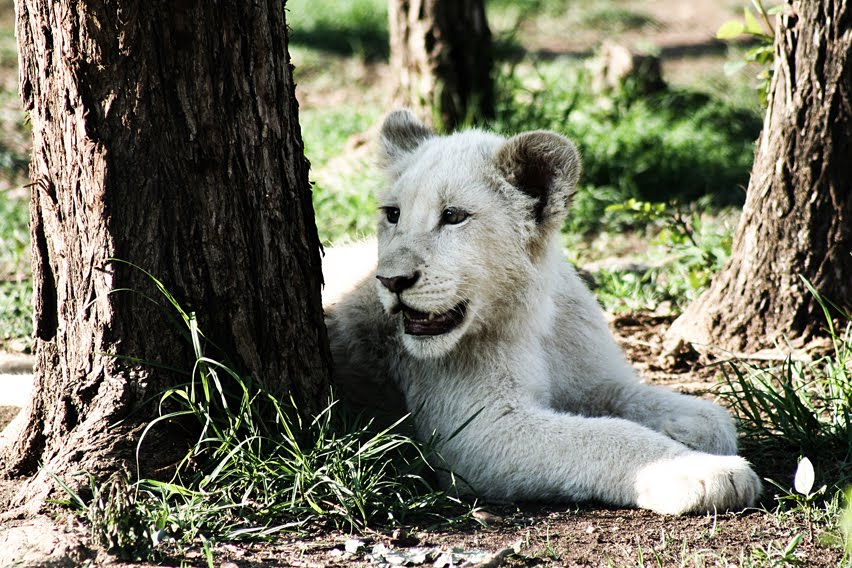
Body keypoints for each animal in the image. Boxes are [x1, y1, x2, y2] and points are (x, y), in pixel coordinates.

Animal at [322, 109, 761, 515]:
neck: (536, 317)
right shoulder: (480, 431)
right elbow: (610, 436)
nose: (391, 280)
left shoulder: (597, 382)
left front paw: (685, 433)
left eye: (453, 216)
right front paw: (707, 472)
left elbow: (710, 417)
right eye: (393, 214)